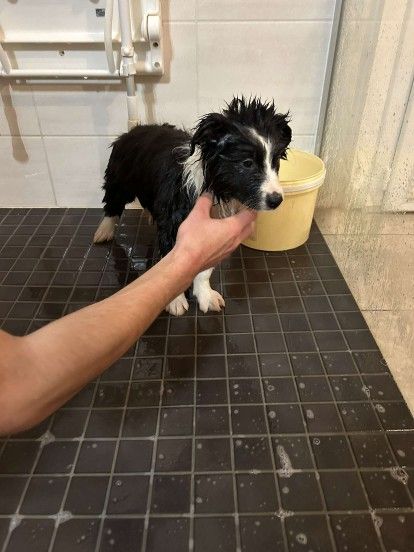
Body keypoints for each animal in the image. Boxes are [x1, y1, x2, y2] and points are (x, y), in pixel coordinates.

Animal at [94, 96, 292, 315]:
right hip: (120, 179)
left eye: (275, 160)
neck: (216, 189)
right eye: (247, 163)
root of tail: (134, 128)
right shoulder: (172, 222)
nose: (276, 200)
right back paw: (104, 231)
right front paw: (175, 301)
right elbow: (171, 260)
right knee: (112, 203)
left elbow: (203, 267)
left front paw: (206, 295)